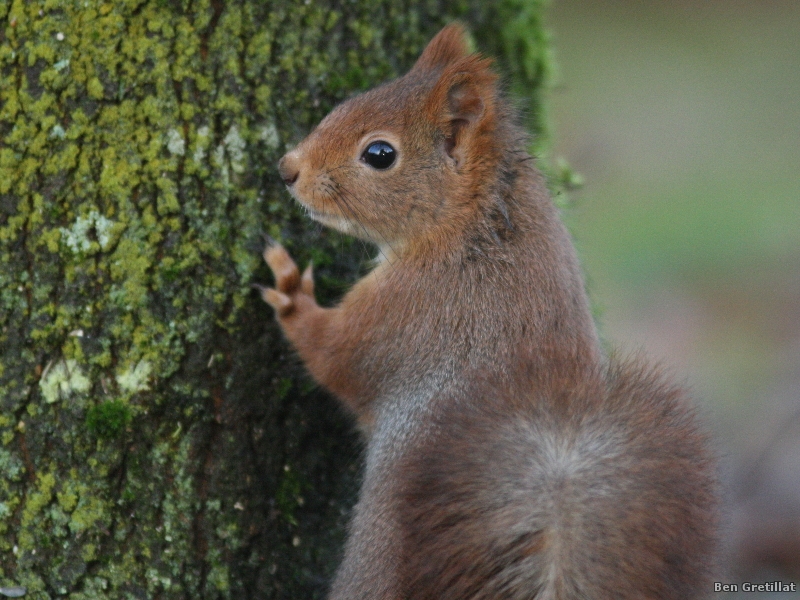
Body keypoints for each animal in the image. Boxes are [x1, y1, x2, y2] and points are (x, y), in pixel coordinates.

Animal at [258, 22, 720, 600]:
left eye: (380, 154)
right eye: (347, 101)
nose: (287, 169)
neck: (476, 217)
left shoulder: (406, 310)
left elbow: (335, 354)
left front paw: (291, 292)